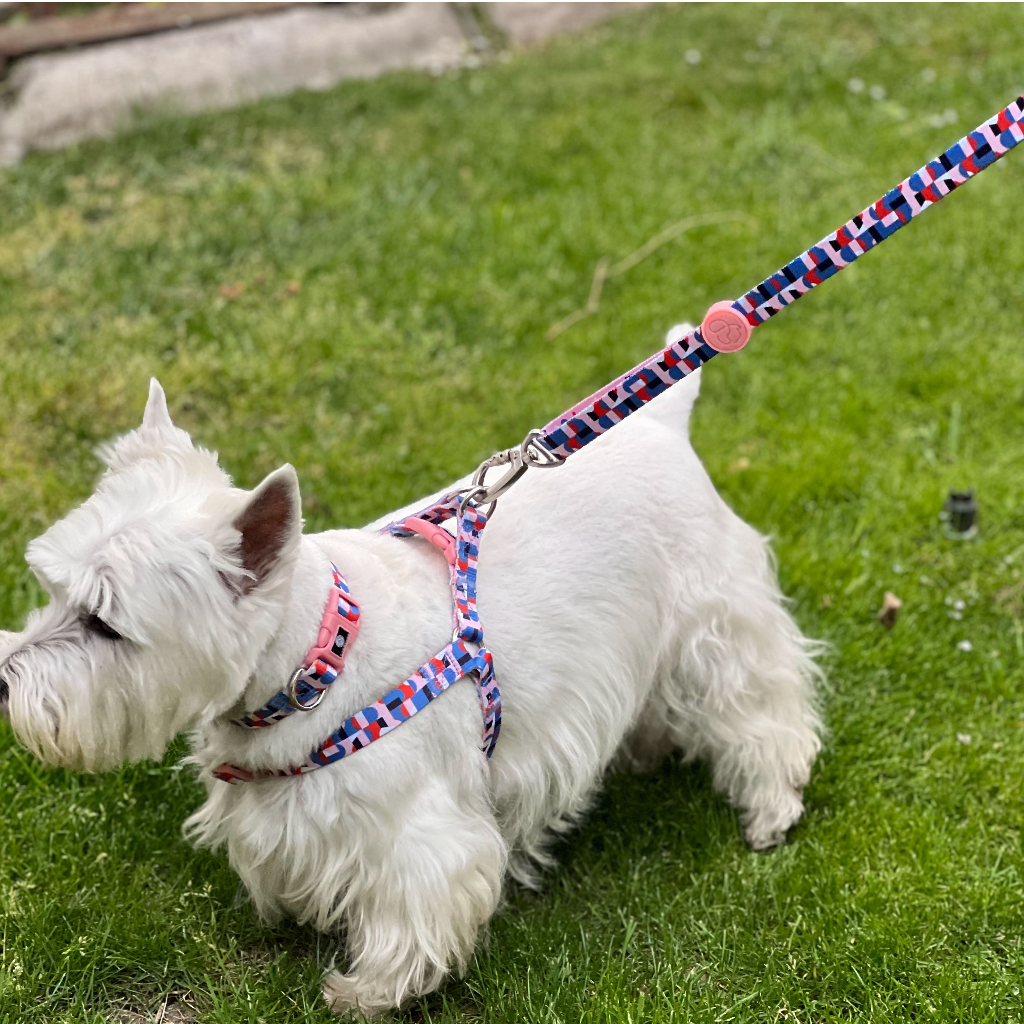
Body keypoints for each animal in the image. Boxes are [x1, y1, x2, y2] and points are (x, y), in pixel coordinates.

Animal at [0, 337, 815, 1015]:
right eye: (52, 588)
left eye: (106, 624)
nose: (3, 682)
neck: (317, 661)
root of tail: (663, 424)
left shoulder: (416, 833)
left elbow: (411, 913)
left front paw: (363, 992)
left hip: (720, 626)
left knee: (767, 710)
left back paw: (770, 812)